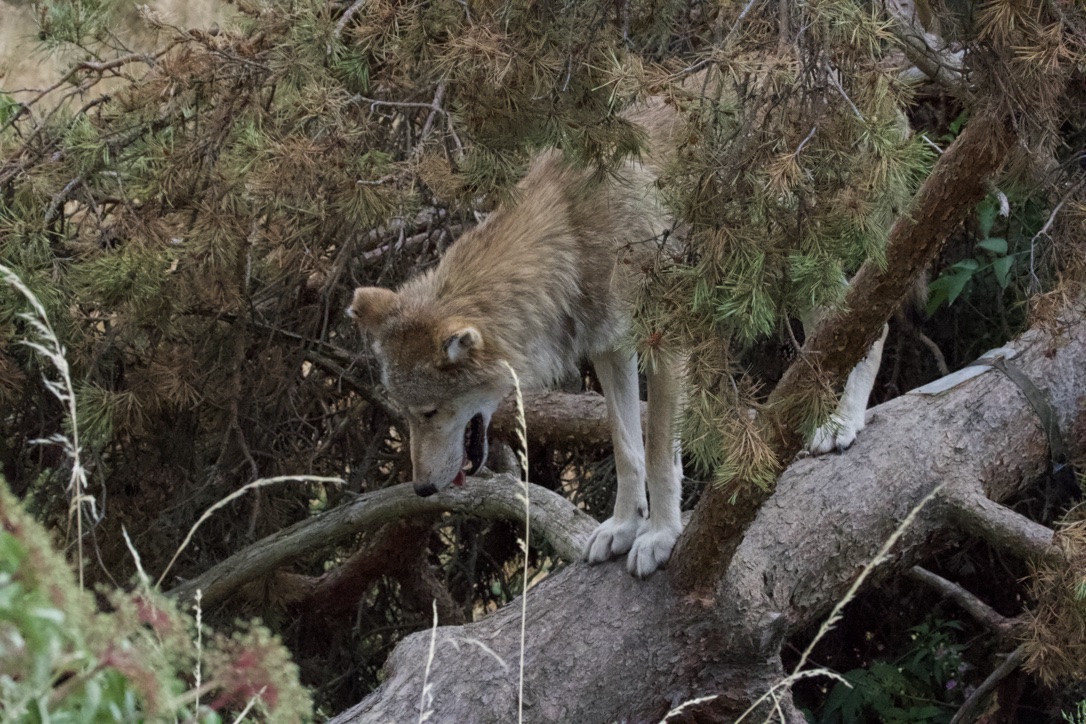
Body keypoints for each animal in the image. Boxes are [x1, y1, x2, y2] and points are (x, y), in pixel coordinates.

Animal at [348, 93, 886, 578]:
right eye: (406, 414)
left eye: (428, 413)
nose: (422, 491)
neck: (572, 239)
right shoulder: (611, 349)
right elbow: (628, 449)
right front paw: (625, 527)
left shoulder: (667, 344)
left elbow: (660, 452)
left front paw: (661, 537)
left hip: (791, 260)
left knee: (870, 319)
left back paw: (841, 422)